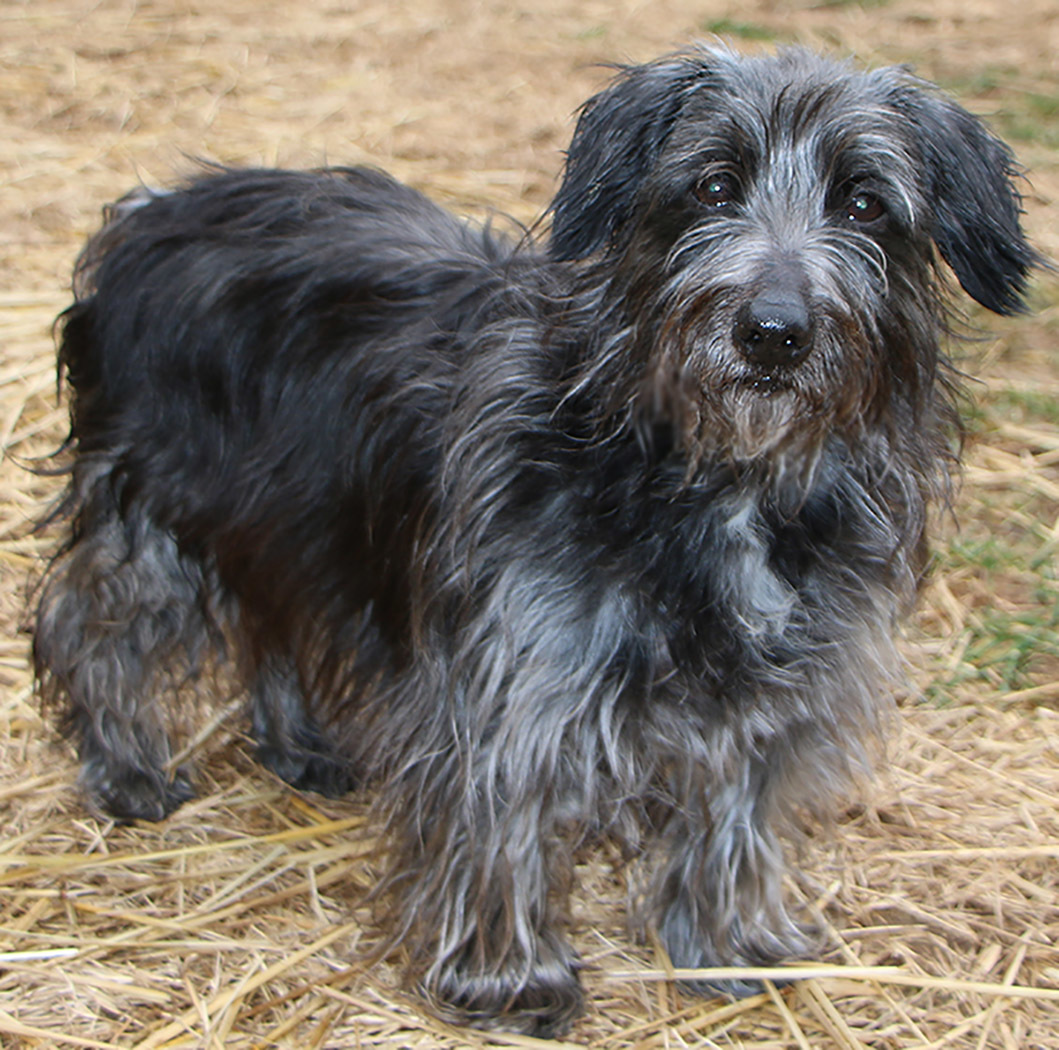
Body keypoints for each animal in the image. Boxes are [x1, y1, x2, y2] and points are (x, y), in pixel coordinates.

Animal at [35, 49, 1042, 1033]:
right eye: (713, 186)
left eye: (866, 202)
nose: (772, 333)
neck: (710, 473)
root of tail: (153, 208)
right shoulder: (516, 677)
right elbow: (501, 821)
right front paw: (508, 978)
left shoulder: (776, 688)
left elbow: (735, 815)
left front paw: (727, 942)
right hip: (158, 517)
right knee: (85, 621)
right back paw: (125, 767)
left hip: (294, 526)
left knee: (271, 616)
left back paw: (301, 747)